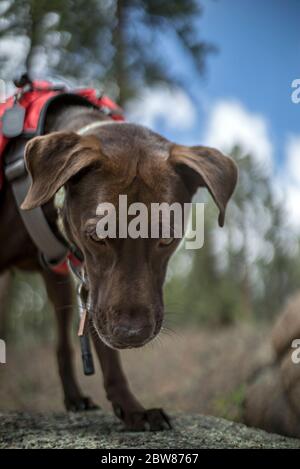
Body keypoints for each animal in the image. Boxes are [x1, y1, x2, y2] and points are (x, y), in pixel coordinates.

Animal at [0, 104, 237, 430]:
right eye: (98, 236)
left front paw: (132, 408)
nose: (131, 334)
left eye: (166, 238)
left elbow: (104, 347)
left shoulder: (93, 287)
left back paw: (74, 397)